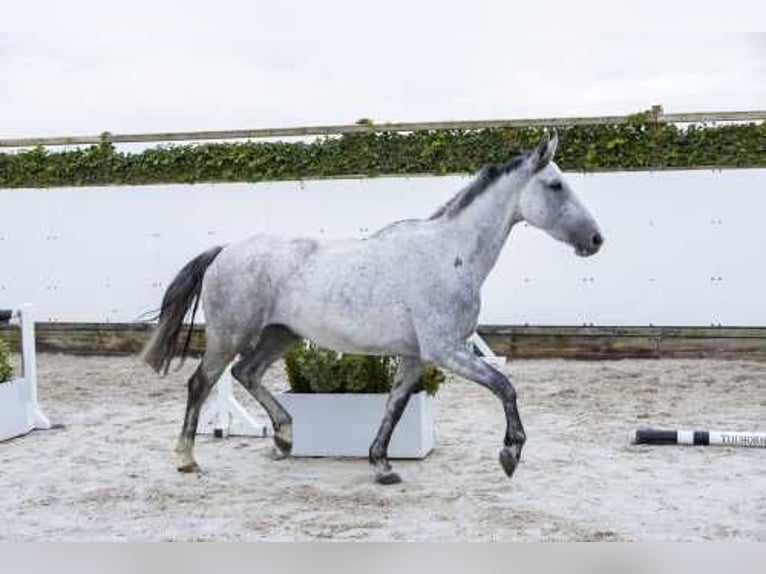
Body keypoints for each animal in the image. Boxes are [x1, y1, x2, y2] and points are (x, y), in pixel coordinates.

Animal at [141, 134, 604, 486]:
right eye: (556, 185)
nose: (596, 239)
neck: (450, 254)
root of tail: (225, 251)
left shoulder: (415, 356)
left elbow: (395, 406)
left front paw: (381, 464)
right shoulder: (446, 350)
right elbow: (505, 386)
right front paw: (510, 454)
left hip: (280, 334)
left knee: (246, 373)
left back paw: (286, 438)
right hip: (229, 335)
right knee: (201, 383)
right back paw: (187, 458)